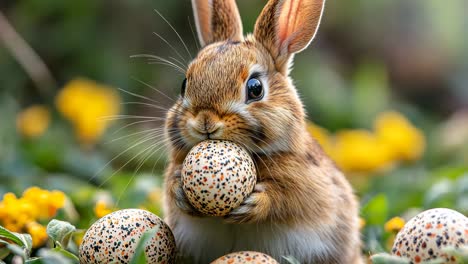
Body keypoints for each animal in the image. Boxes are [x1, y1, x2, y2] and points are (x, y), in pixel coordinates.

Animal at [163, 0, 364, 262]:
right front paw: (179, 190)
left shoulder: (309, 187)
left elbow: (286, 200)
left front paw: (255, 204)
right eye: (184, 84)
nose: (205, 121)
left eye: (255, 88)